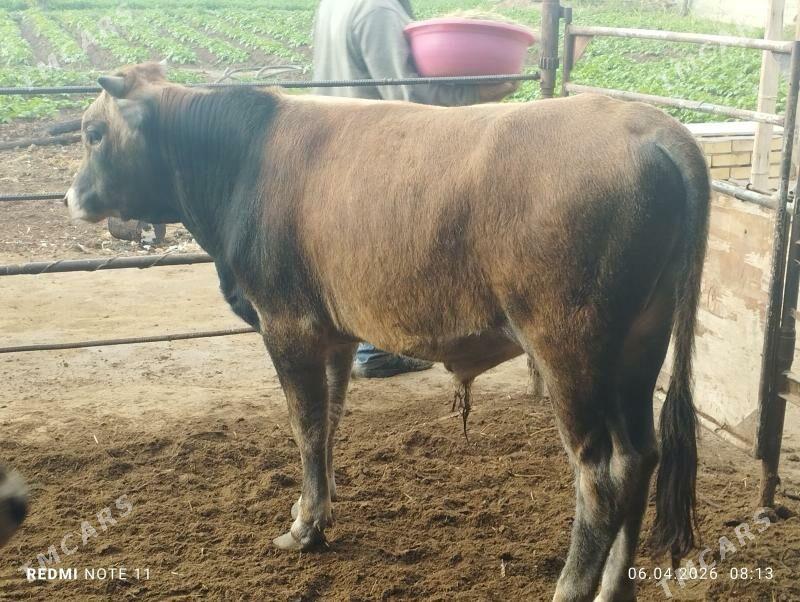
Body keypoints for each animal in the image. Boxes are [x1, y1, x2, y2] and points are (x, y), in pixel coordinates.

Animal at [65, 63, 709, 602]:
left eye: (93, 132)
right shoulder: (334, 333)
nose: (72, 196)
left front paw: (303, 528)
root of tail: (652, 126)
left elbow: (304, 427)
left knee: (599, 477)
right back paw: (614, 590)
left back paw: (572, 588)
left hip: (569, 347)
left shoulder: (287, 324)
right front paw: (317, 514)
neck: (241, 160)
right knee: (640, 456)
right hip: (638, 345)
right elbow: (328, 424)